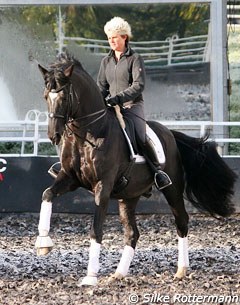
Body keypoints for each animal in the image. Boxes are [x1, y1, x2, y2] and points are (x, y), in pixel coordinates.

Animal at [34, 52, 237, 284]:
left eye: (64, 98)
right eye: (45, 96)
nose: (53, 136)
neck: (88, 134)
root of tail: (170, 133)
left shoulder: (102, 186)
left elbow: (96, 229)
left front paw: (90, 277)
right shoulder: (69, 178)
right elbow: (47, 194)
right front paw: (43, 243)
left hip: (172, 188)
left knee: (181, 221)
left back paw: (181, 270)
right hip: (128, 196)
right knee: (133, 233)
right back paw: (119, 273)